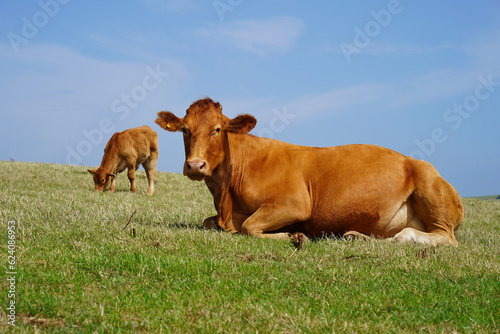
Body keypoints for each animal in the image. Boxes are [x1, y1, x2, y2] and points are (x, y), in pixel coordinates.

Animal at [155, 98, 464, 247]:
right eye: (185, 130)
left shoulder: (295, 203)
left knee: (444, 237)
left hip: (429, 188)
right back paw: (356, 236)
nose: (195, 165)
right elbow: (210, 223)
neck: (226, 200)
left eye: (217, 129)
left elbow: (249, 227)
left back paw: (405, 237)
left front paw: (293, 236)